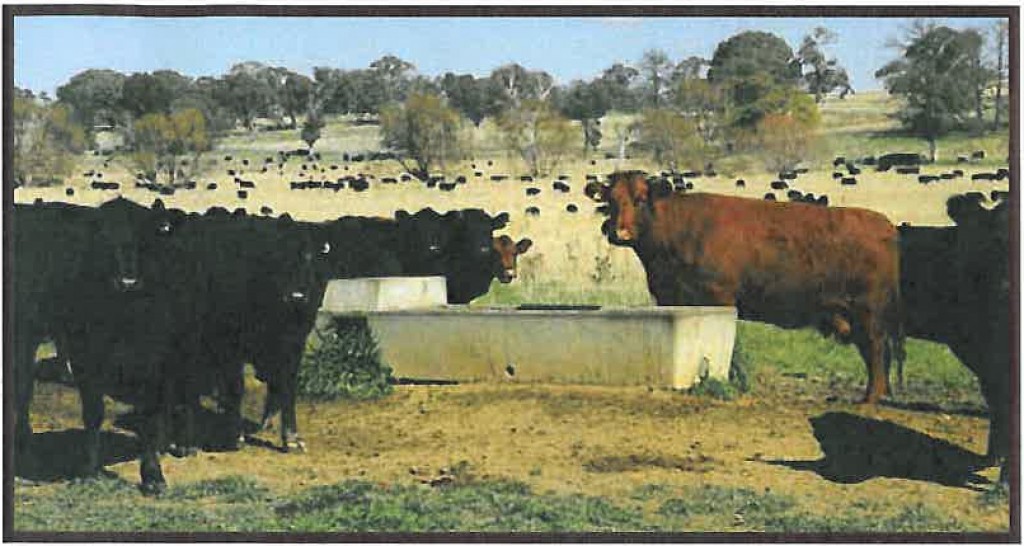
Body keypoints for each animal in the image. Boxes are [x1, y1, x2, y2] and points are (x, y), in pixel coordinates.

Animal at [587, 171, 904, 403]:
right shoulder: (669, 297)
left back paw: (870, 398)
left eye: (640, 199)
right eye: (610, 201)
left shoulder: (719, 298)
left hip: (869, 313)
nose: (618, 232)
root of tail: (885, 225)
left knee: (876, 350)